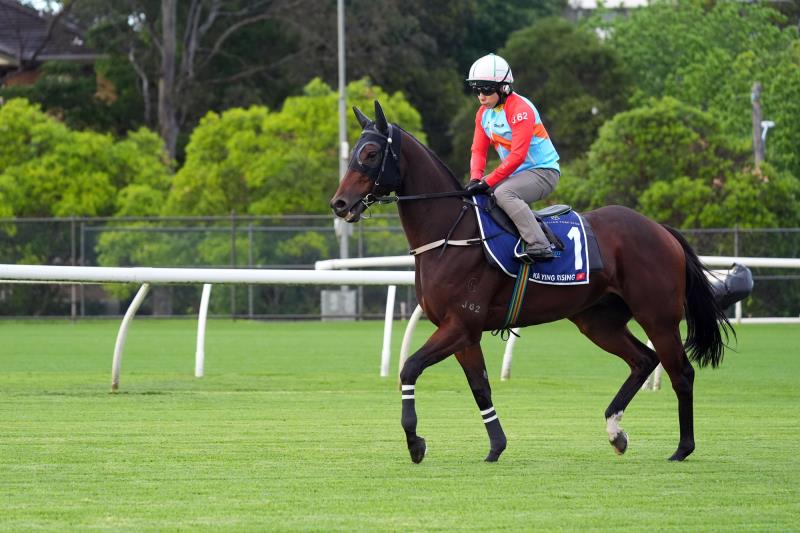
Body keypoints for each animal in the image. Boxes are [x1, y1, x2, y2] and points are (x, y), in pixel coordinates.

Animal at [330, 101, 732, 464]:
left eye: (370, 153)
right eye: (352, 153)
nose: (339, 204)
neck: (452, 235)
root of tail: (660, 229)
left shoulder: (460, 324)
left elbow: (410, 367)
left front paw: (415, 442)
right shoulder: (464, 332)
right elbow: (480, 387)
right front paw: (496, 447)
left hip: (657, 317)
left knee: (681, 372)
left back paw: (682, 448)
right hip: (597, 320)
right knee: (643, 360)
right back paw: (615, 433)